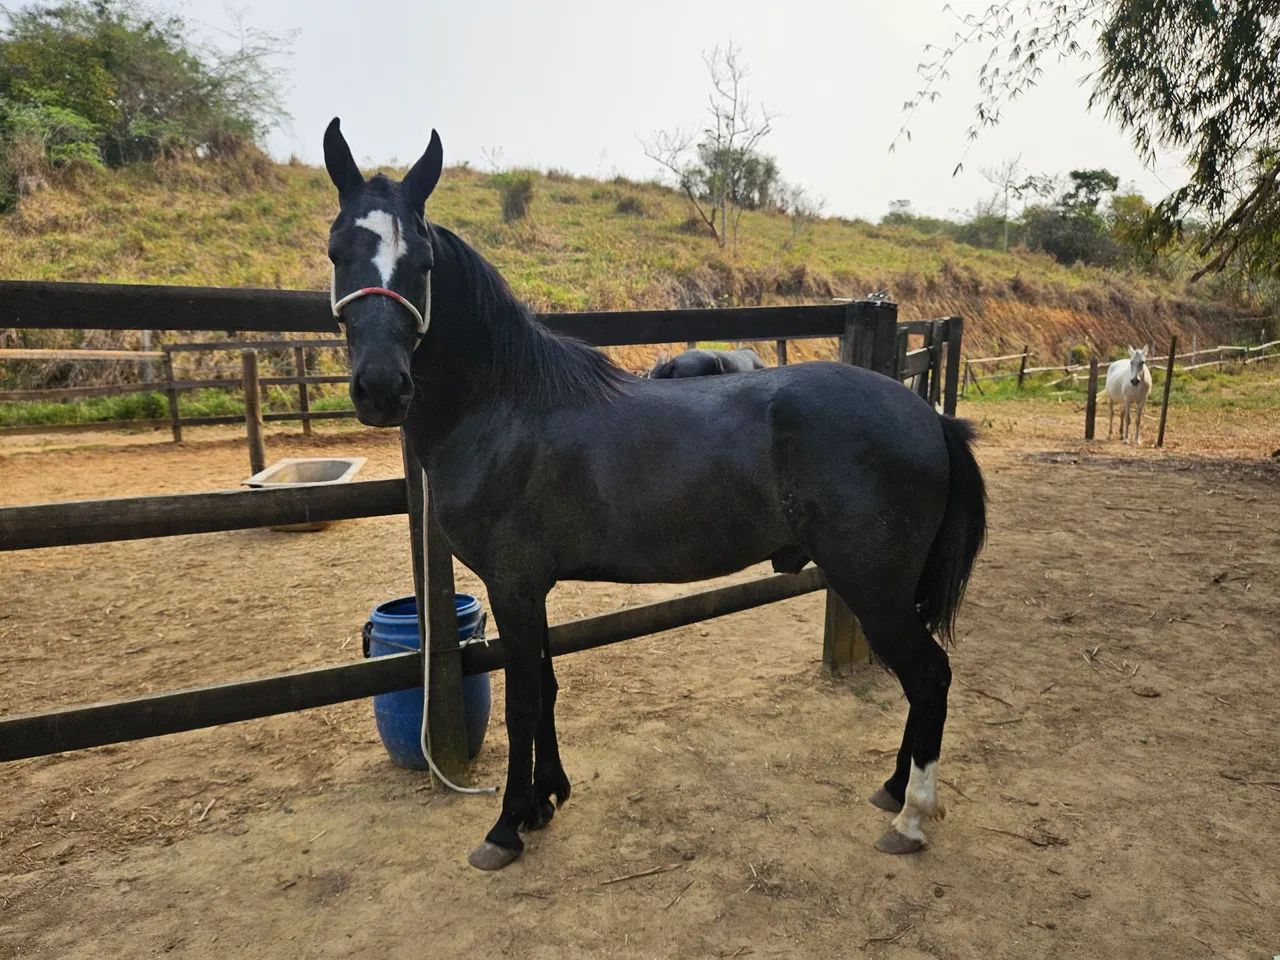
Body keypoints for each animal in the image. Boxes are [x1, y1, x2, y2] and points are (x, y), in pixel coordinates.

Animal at [322, 119, 987, 871]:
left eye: (424, 262)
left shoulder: (512, 585)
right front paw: (547, 799)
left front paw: (506, 826)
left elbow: (524, 701)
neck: (507, 406)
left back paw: (911, 816)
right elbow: (547, 686)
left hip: (872, 586)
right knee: (920, 679)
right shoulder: (531, 588)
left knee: (929, 677)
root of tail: (929, 417)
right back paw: (894, 786)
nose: (381, 388)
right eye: (338, 250)